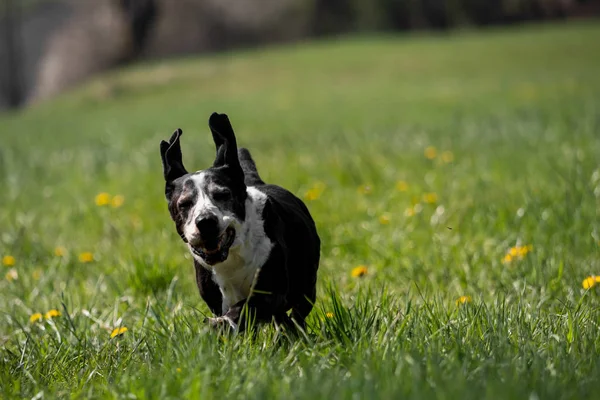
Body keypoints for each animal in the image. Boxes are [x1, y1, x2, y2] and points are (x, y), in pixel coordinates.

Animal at [158, 112, 318, 332]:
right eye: (184, 204)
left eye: (222, 194)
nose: (205, 221)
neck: (232, 257)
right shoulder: (216, 297)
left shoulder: (271, 290)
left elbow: (246, 306)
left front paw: (224, 322)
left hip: (306, 286)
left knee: (297, 312)